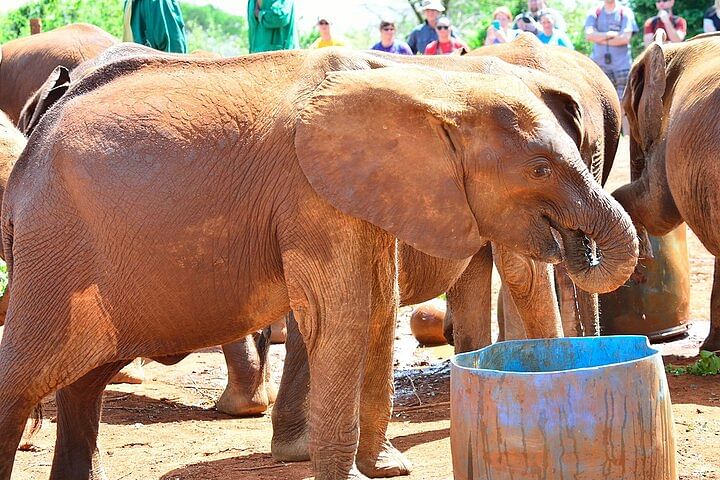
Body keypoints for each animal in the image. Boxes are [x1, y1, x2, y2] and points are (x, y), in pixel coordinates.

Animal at [0, 49, 636, 480]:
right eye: (539, 169)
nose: (581, 246)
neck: (429, 85)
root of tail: (32, 147)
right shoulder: (312, 196)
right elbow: (345, 315)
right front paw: (351, 474)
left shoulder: (366, 193)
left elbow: (376, 309)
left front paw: (386, 469)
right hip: (57, 248)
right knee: (25, 376)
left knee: (84, 383)